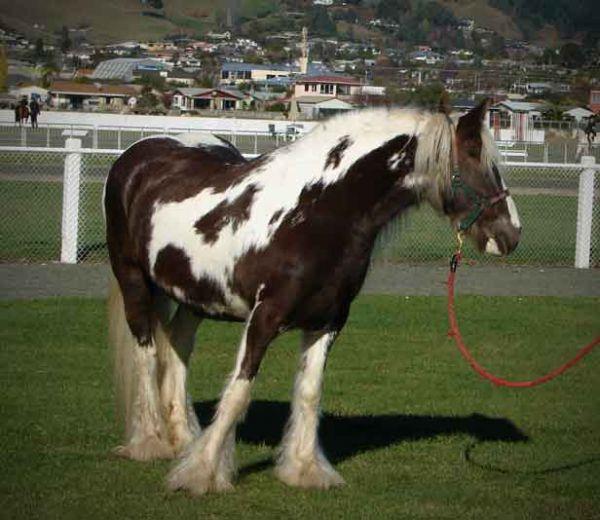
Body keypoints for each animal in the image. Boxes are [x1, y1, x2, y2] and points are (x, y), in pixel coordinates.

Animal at [103, 98, 520, 496]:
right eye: (477, 160)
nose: (511, 235)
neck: (315, 209)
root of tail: (138, 154)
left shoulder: (329, 320)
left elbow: (309, 392)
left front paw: (303, 470)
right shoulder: (264, 317)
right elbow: (239, 390)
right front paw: (201, 474)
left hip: (197, 295)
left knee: (177, 346)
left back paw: (183, 437)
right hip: (133, 279)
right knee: (146, 352)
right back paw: (150, 441)